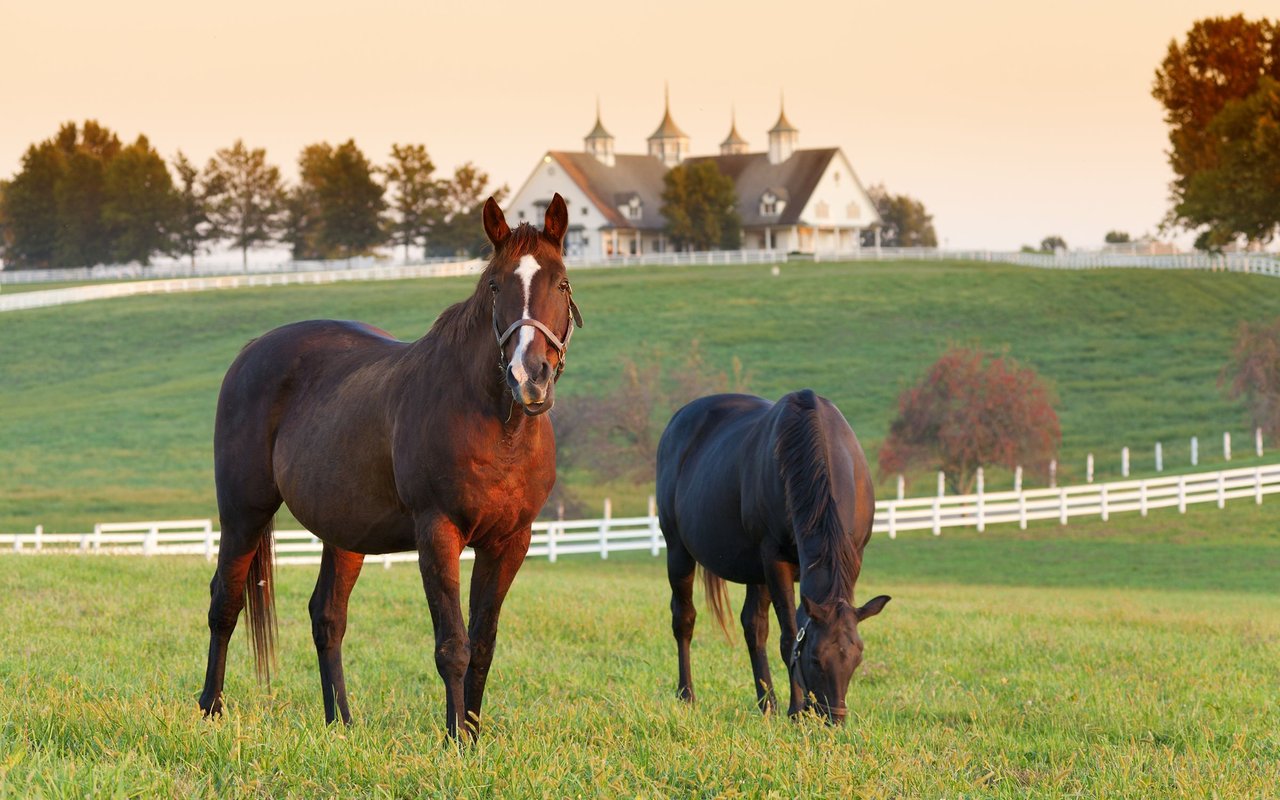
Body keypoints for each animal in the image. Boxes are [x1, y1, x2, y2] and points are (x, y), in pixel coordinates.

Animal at [197, 194, 583, 739]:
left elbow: (483, 645)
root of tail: (252, 351)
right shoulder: (438, 532)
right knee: (225, 603)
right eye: (494, 284)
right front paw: (455, 740)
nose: (529, 377)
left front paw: (473, 734)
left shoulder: (510, 542)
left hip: (343, 532)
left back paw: (340, 721)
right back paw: (211, 707)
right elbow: (453, 645)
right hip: (243, 514)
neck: (496, 427)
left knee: (327, 617)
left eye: (562, 283)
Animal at [655, 389, 890, 723]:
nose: (833, 719)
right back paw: (687, 694)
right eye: (815, 659)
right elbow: (789, 636)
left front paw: (791, 707)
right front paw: (796, 710)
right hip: (678, 551)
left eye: (857, 657)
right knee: (684, 619)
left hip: (755, 571)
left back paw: (767, 704)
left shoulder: (851, 558)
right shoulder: (775, 561)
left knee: (753, 627)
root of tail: (678, 419)